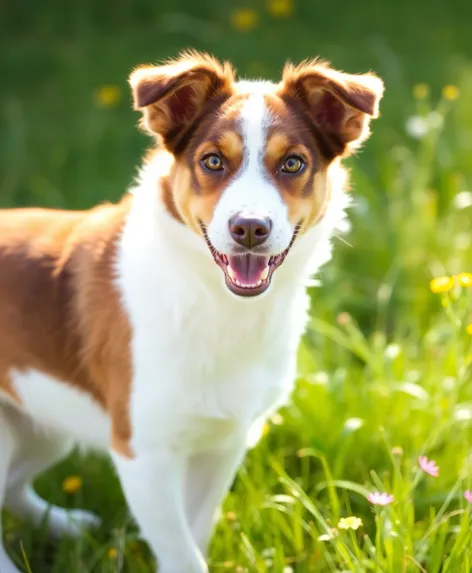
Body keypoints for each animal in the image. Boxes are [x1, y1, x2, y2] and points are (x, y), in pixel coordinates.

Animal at [0, 51, 384, 568]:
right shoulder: (144, 453)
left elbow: (196, 534)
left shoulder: (224, 442)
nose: (249, 228)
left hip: (44, 424)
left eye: (293, 163)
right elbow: (183, 555)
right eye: (213, 161)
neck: (215, 304)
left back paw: (68, 526)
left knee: (13, 486)